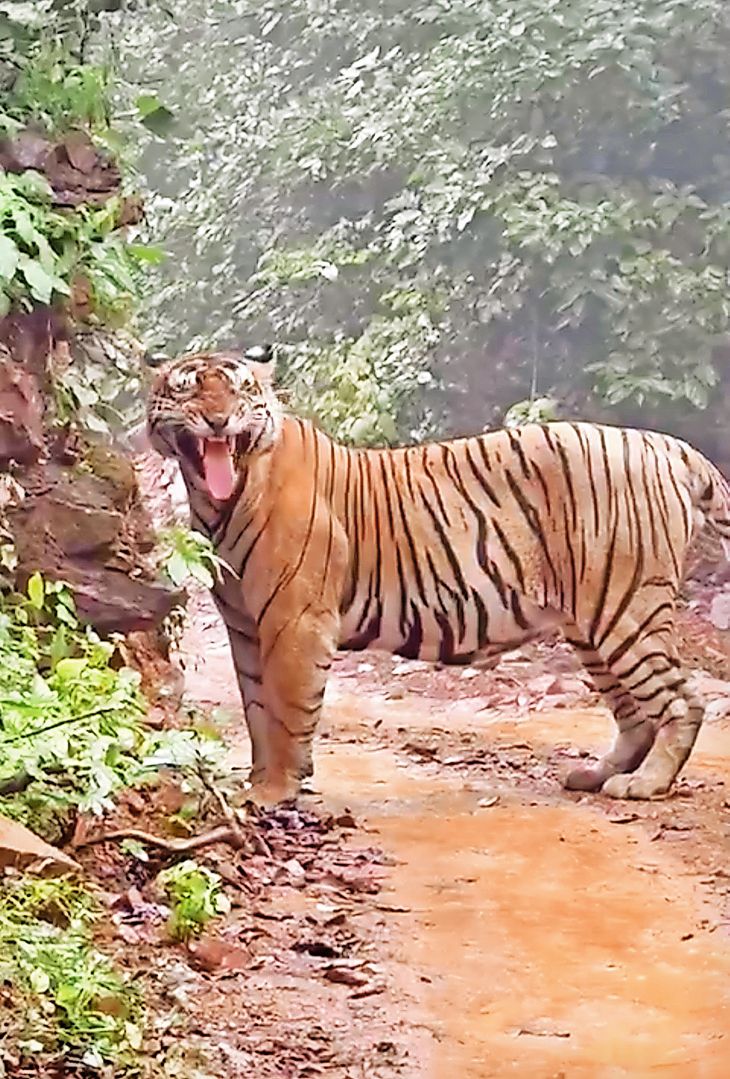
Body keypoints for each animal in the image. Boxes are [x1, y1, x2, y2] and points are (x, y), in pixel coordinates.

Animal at [146, 346, 730, 806]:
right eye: (189, 389)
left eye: (240, 390)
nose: (219, 421)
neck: (219, 500)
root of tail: (666, 445)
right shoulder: (244, 624)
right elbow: (256, 707)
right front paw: (257, 781)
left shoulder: (295, 619)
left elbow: (287, 709)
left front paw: (275, 790)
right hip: (592, 623)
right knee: (634, 712)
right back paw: (596, 774)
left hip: (625, 608)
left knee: (682, 699)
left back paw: (646, 784)